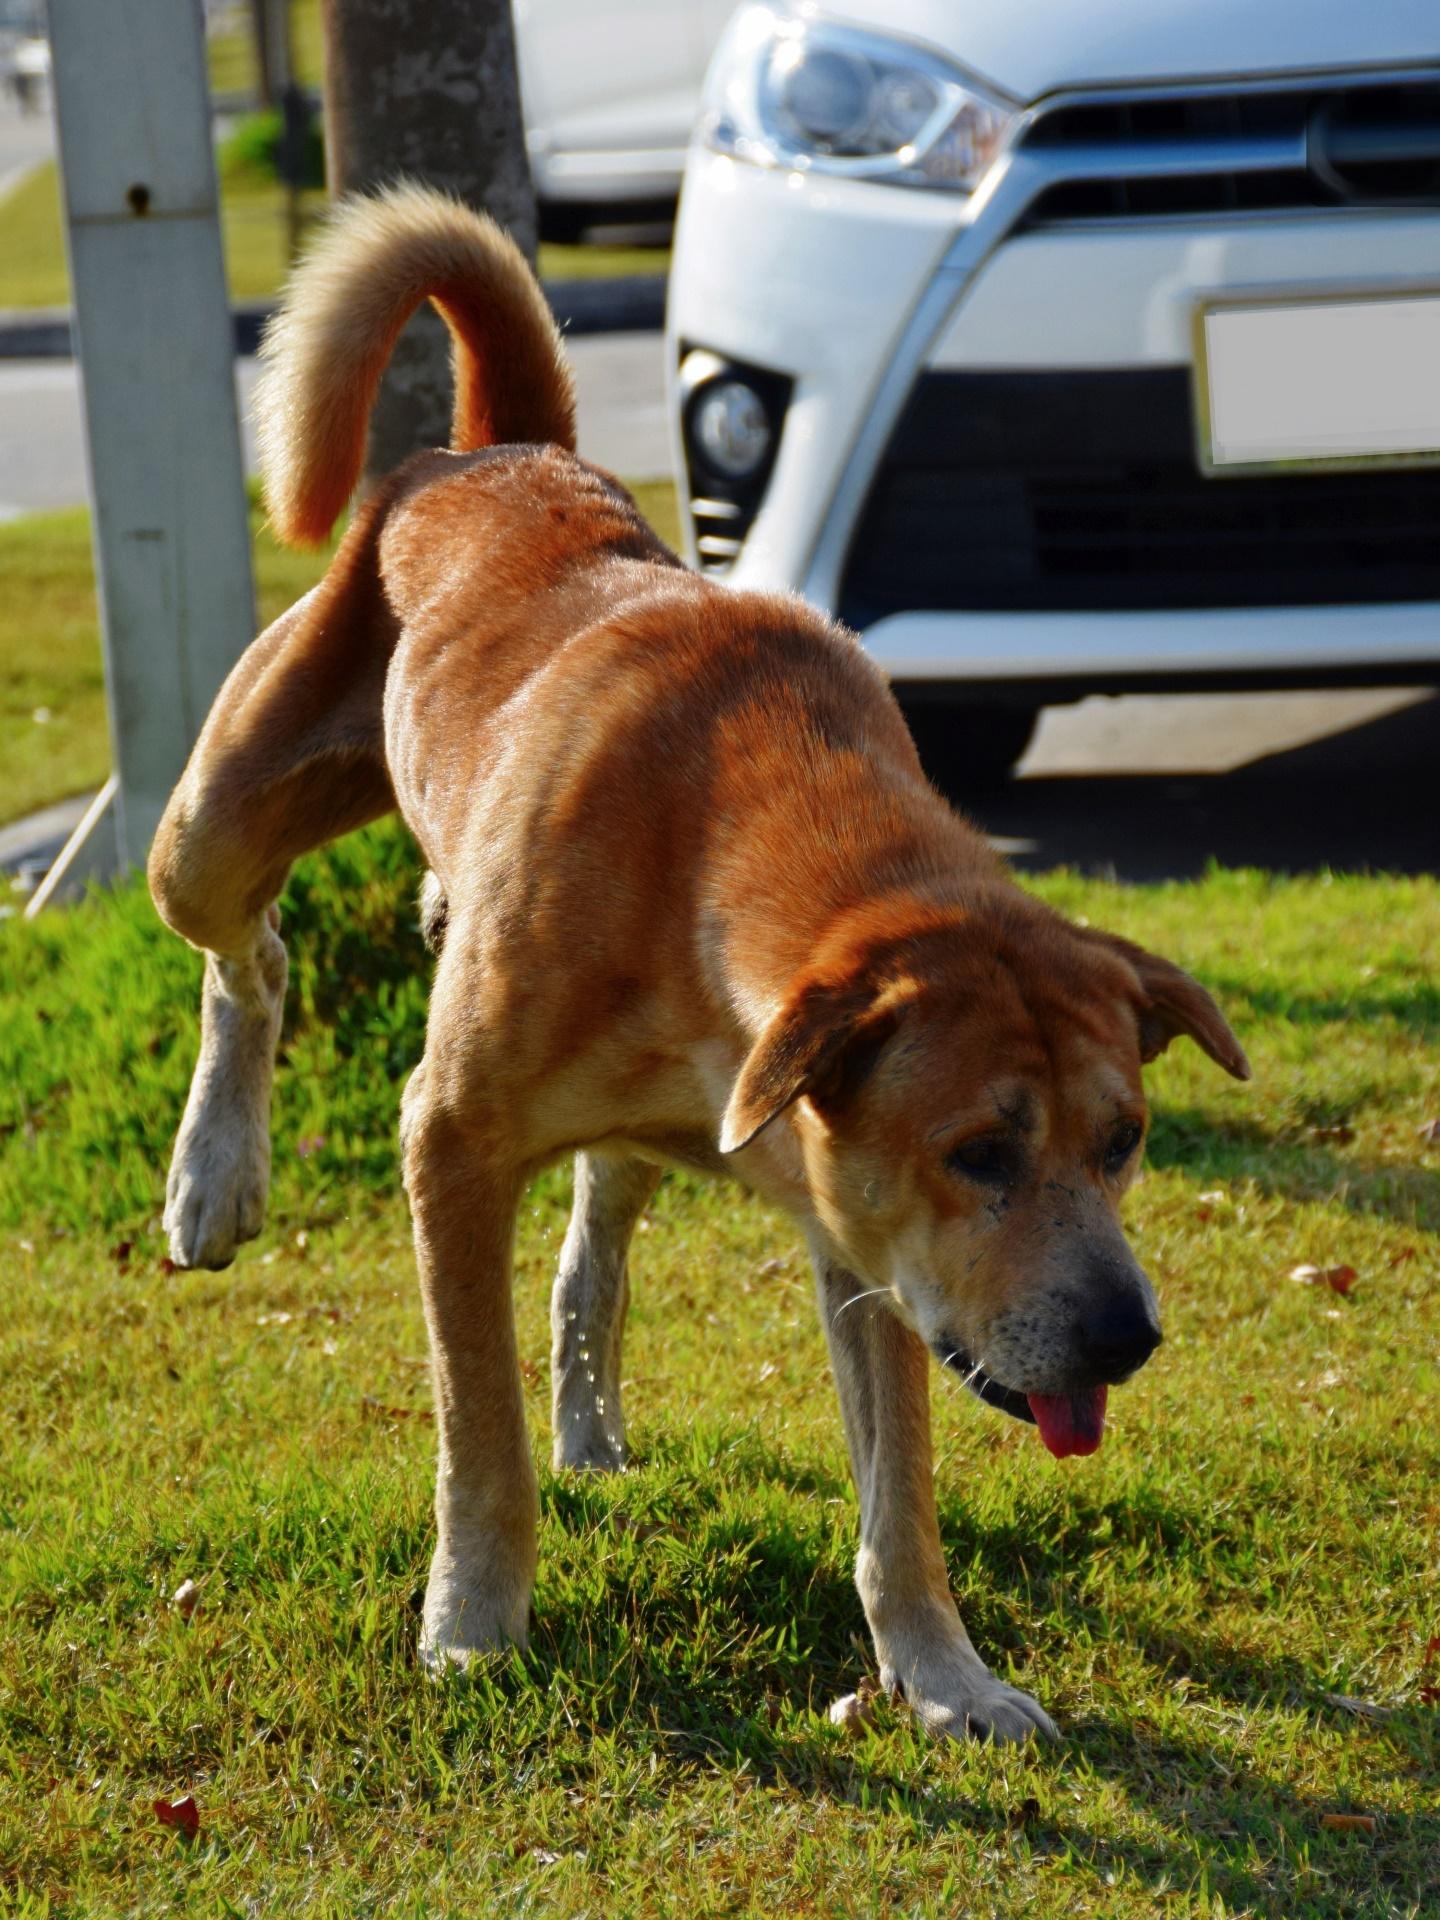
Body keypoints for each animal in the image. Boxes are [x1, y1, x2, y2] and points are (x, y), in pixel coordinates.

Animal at [149, 187, 1251, 1751]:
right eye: (981, 1152)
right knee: (250, 954)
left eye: (1126, 1141)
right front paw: (473, 1627)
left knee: (589, 1258)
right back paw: (214, 1176)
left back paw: (592, 1428)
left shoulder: (862, 1238)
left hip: (632, 1134)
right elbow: (476, 1436)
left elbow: (899, 1500)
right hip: (217, 824)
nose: (1128, 1335)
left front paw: (944, 1676)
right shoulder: (452, 1140)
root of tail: (502, 448)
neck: (718, 842)